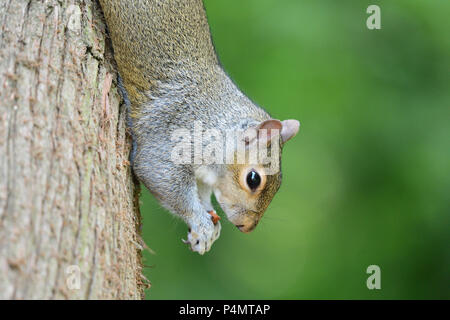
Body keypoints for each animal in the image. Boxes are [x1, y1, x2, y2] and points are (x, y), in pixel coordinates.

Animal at [100, 0, 300, 255]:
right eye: (253, 179)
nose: (246, 227)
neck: (218, 123)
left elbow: (202, 194)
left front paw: (208, 227)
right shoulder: (175, 134)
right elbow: (158, 172)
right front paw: (200, 223)